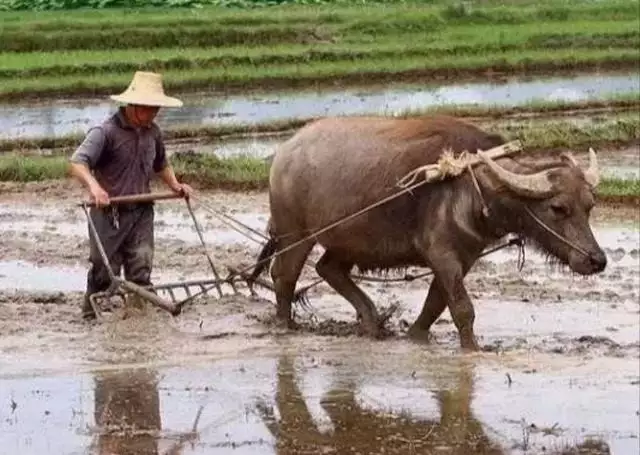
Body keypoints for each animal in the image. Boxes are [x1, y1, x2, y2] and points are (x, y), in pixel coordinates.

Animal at [249, 116, 604, 350]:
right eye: (558, 208)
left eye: (589, 205)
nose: (596, 260)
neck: (476, 187)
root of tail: (283, 154)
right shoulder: (442, 254)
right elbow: (462, 309)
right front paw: (472, 349)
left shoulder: (464, 257)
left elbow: (436, 303)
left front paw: (415, 336)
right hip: (295, 234)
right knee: (284, 276)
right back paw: (285, 325)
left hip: (348, 240)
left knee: (329, 269)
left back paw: (371, 320)